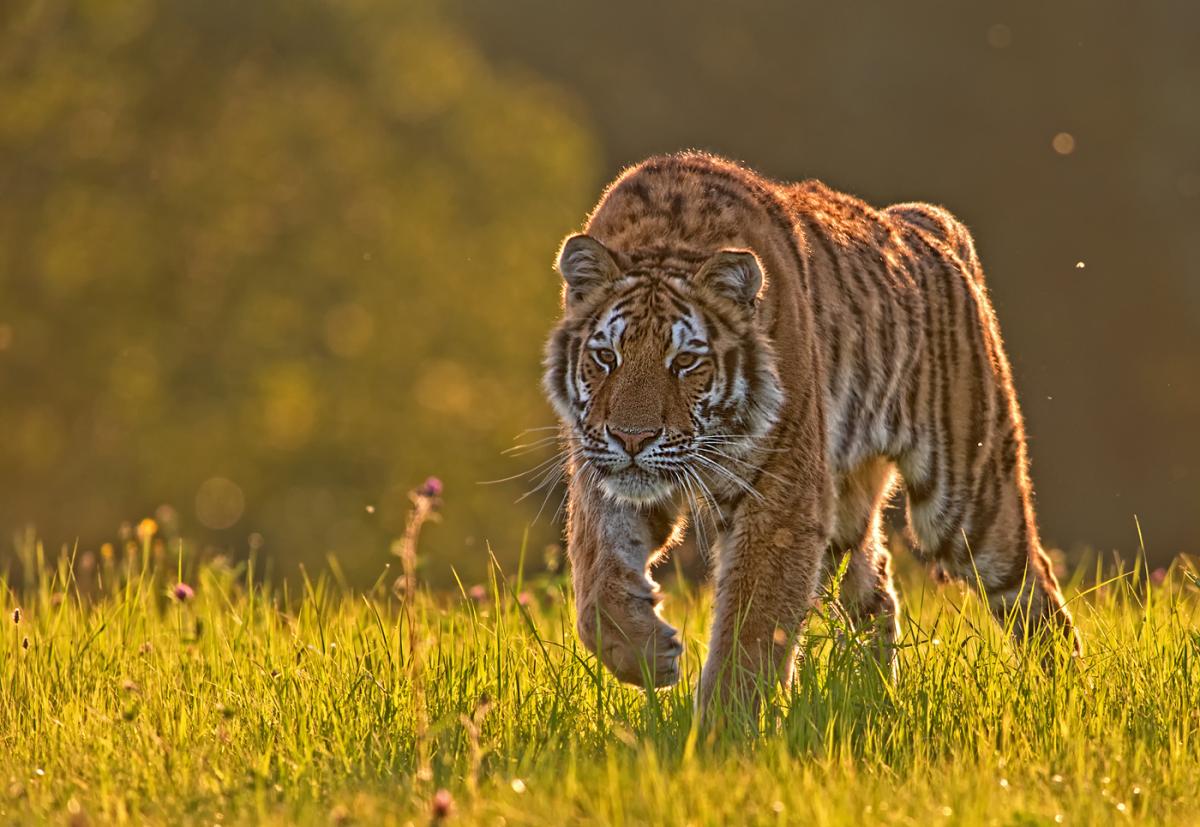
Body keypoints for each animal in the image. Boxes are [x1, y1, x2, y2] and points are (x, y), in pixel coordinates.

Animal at [542, 151, 1081, 712]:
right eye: (607, 357)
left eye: (686, 361)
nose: (632, 438)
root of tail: (925, 221)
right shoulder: (603, 472)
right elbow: (596, 577)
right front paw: (645, 655)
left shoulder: (782, 499)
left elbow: (751, 629)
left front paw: (723, 725)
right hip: (846, 510)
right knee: (877, 593)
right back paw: (871, 698)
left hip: (966, 501)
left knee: (1032, 587)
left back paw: (1064, 694)